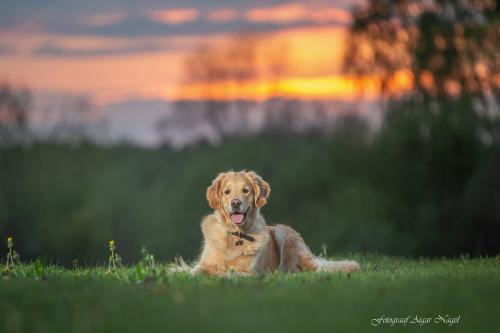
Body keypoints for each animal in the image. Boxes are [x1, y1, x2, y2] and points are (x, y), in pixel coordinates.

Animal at [190, 170, 360, 274]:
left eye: (246, 190)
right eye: (227, 192)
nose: (236, 203)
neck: (235, 235)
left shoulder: (249, 271)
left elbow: (231, 273)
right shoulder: (203, 265)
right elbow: (195, 272)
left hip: (282, 231)